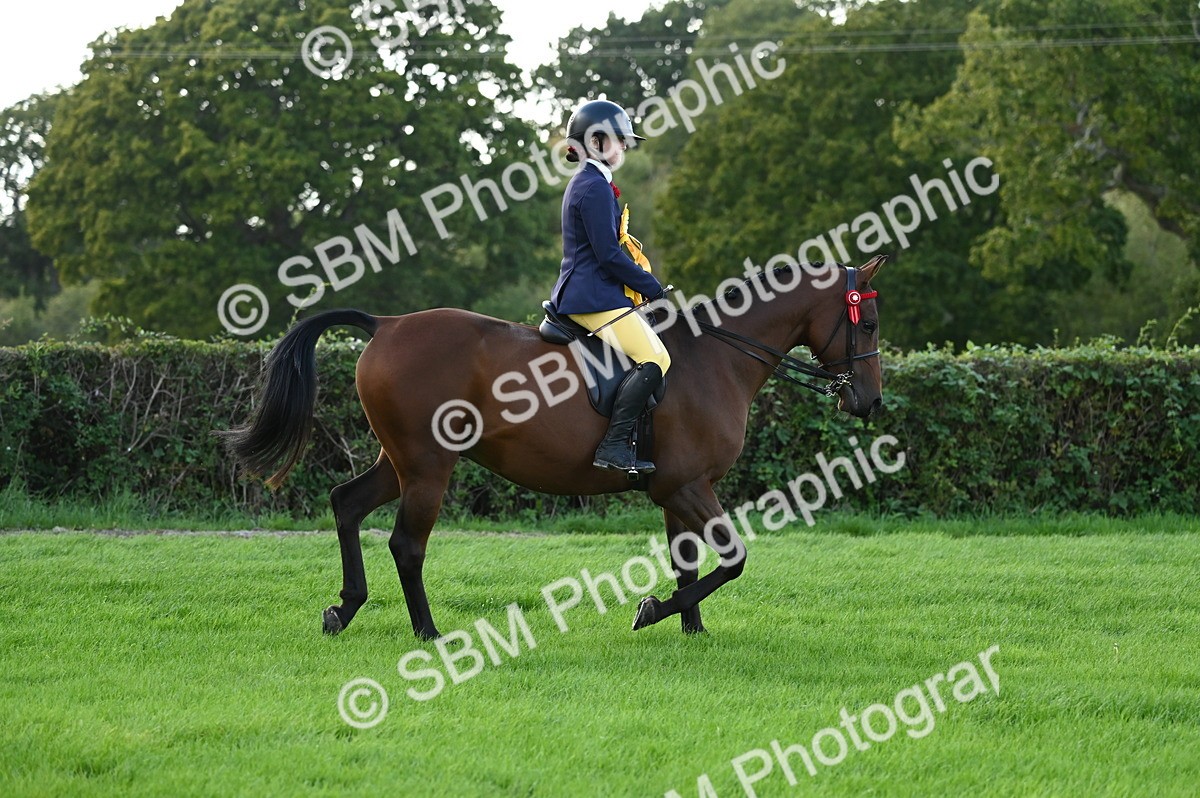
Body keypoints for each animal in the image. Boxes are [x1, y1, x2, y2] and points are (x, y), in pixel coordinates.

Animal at [219, 255, 886, 638]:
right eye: (870, 323)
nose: (870, 402)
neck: (715, 357)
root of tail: (388, 324)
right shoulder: (687, 486)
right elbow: (733, 559)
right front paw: (654, 612)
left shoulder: (678, 490)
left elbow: (688, 560)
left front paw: (689, 628)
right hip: (429, 466)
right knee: (406, 544)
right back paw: (428, 633)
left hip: (401, 462)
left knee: (348, 504)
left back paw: (344, 609)